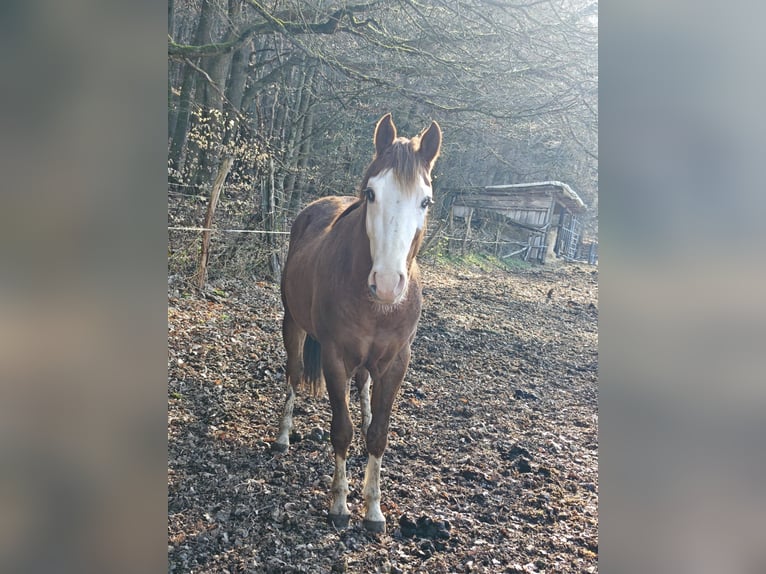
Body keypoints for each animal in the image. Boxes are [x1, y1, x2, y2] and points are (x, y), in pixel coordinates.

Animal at [272, 113, 442, 533]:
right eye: (371, 194)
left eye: (425, 200)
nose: (387, 284)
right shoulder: (334, 358)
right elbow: (341, 431)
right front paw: (339, 505)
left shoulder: (397, 362)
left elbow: (378, 434)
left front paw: (374, 509)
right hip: (292, 324)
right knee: (294, 373)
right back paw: (283, 436)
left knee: (364, 386)